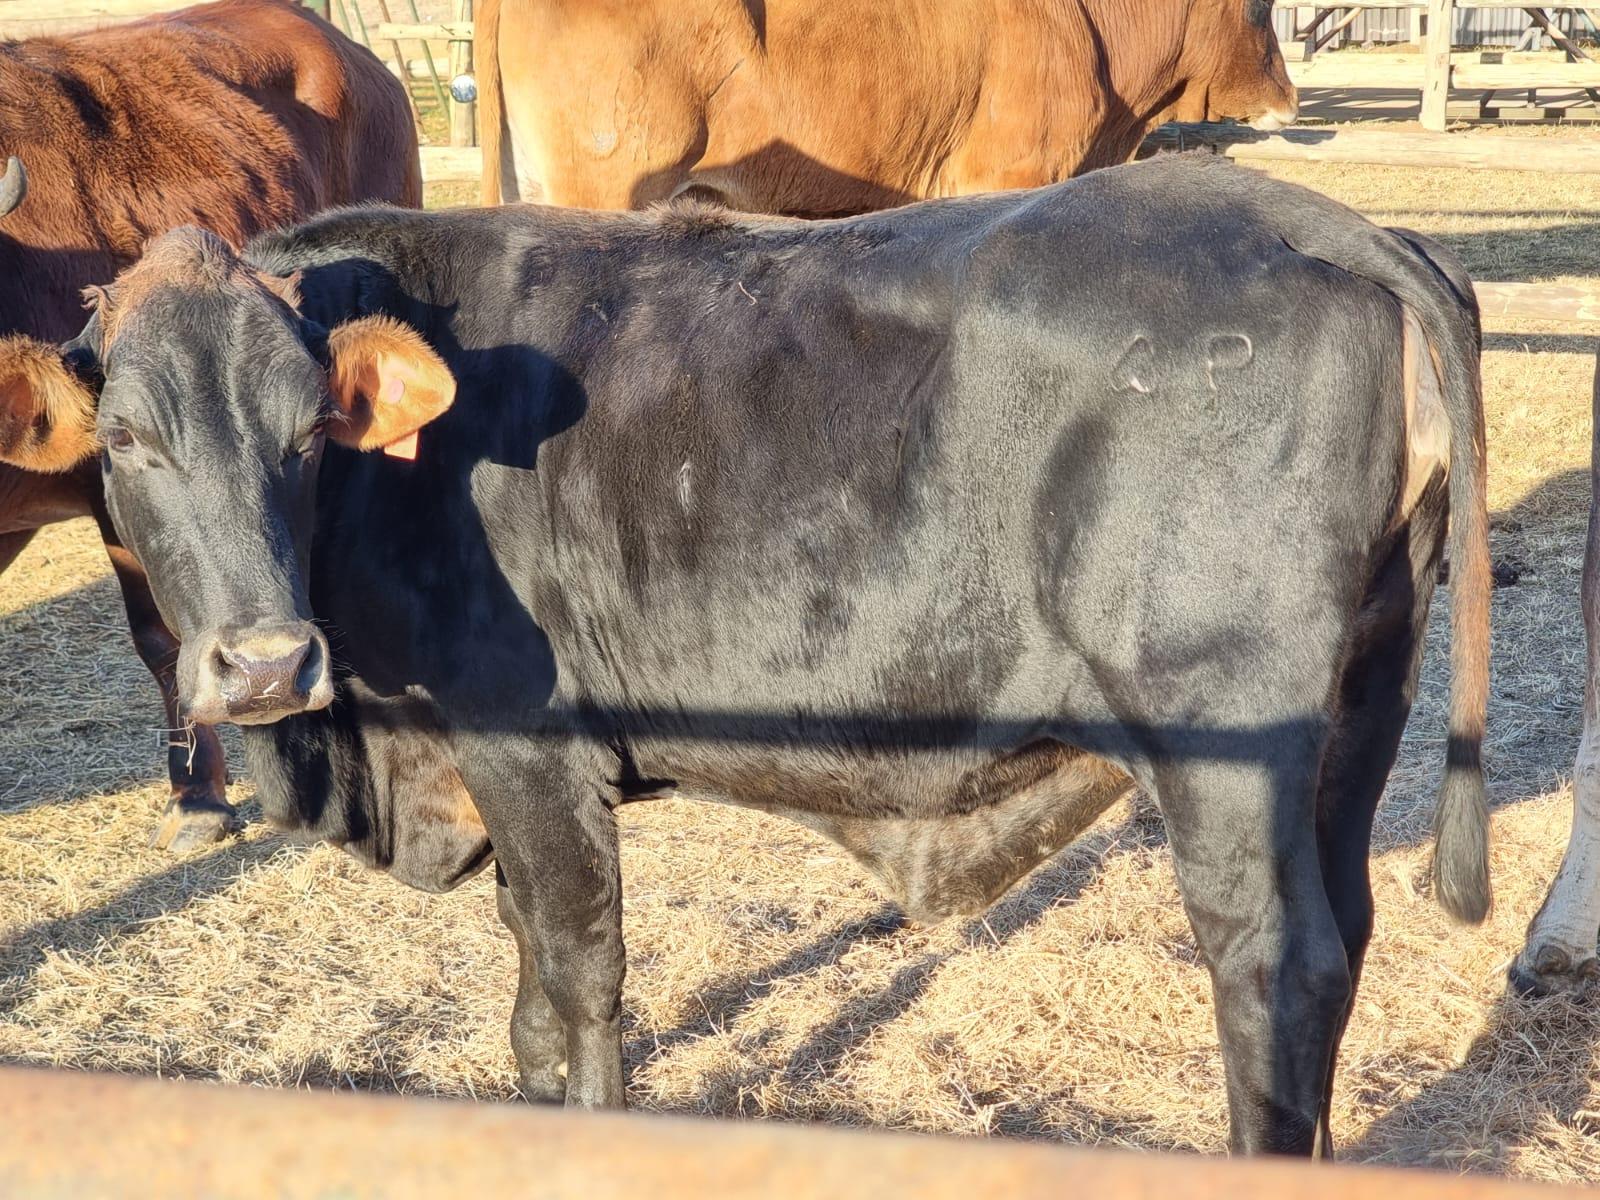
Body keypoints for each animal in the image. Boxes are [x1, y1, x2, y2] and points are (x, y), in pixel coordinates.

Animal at [0, 154, 1489, 1156]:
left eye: (308, 427)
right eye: (127, 440)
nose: (263, 663)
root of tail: (1314, 221)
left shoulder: (527, 750)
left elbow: (576, 981)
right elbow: (532, 980)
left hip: (1225, 747)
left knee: (1274, 971)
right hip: (1362, 710)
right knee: (1344, 939)